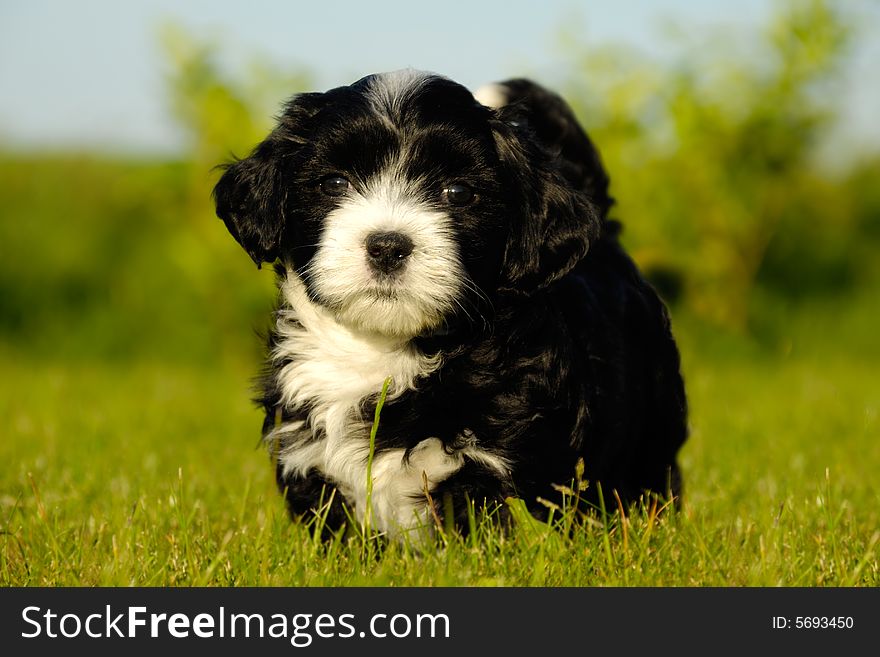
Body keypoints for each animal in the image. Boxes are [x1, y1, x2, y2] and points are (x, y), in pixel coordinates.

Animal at [213, 69, 688, 540]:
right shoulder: (307, 456)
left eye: (457, 192)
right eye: (334, 183)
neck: (385, 350)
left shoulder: (502, 467)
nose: (388, 246)